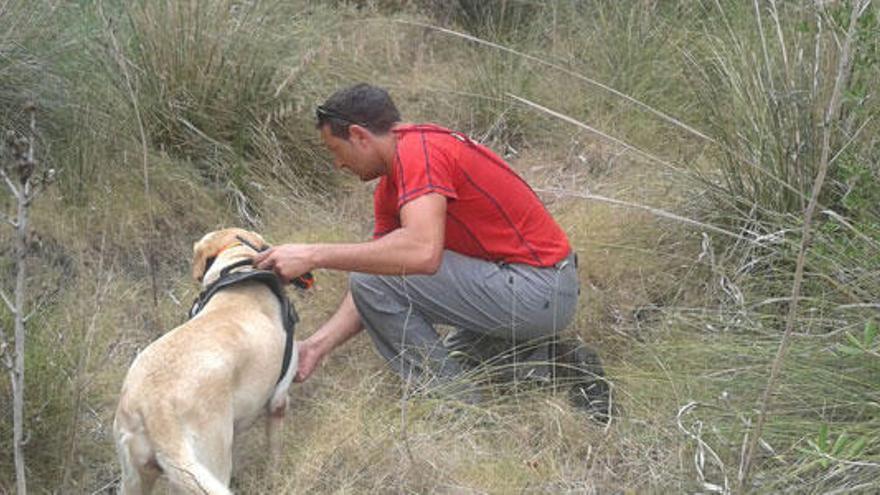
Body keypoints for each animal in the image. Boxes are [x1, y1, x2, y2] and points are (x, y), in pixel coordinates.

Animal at [113, 231, 298, 494]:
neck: (238, 269)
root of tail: (157, 408)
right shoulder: (279, 399)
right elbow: (274, 452)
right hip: (211, 460)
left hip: (135, 477)